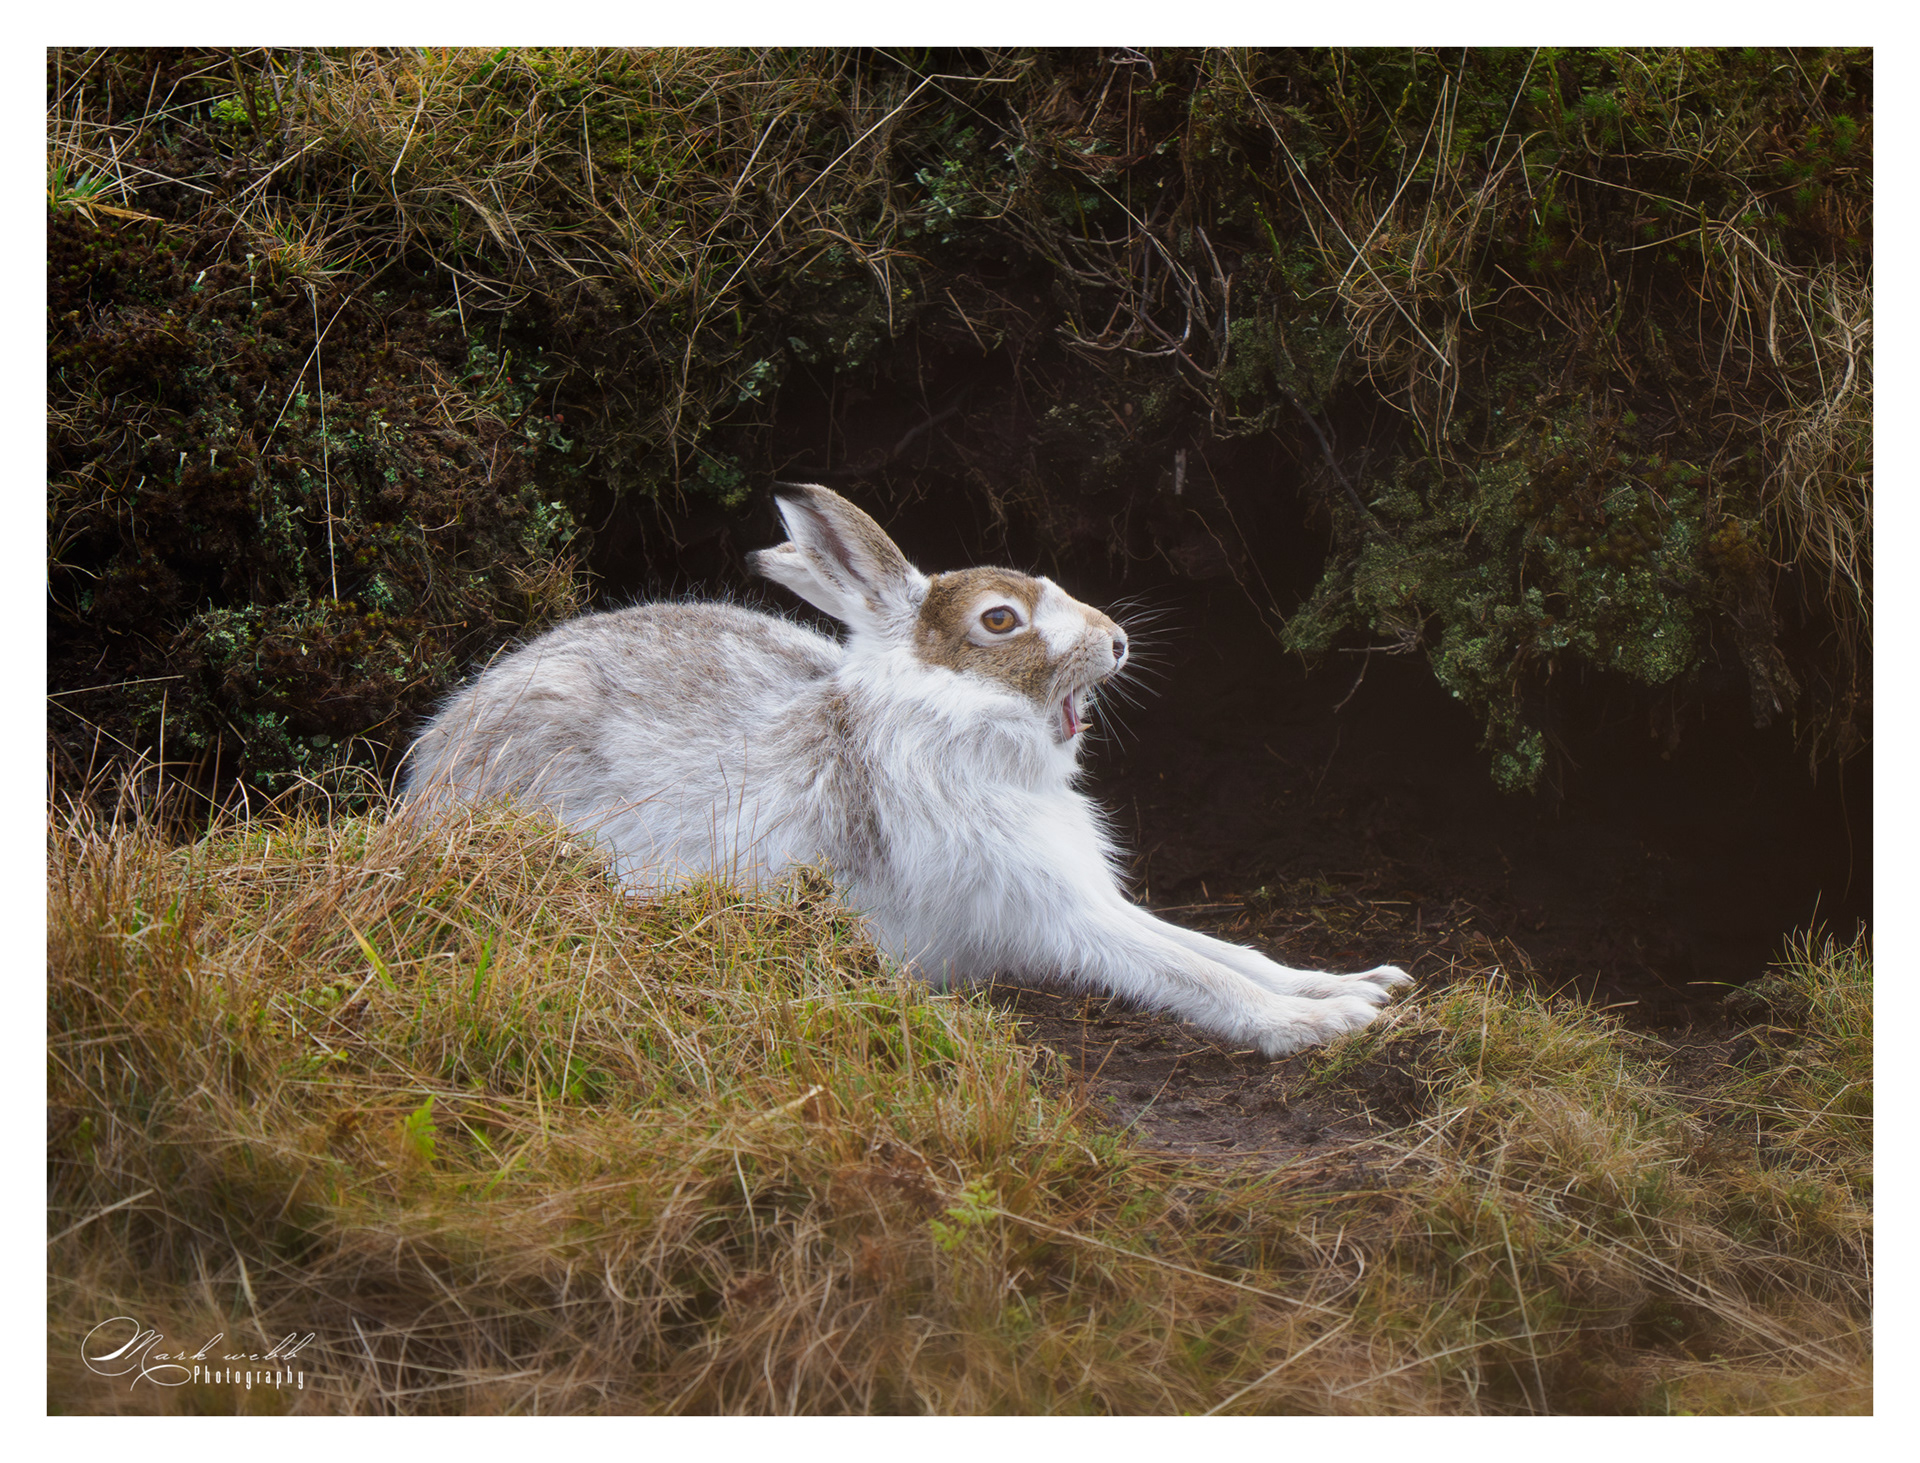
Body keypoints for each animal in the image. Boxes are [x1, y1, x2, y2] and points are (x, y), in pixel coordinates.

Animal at [403, 482, 1412, 1056]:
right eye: (1000, 621)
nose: (1119, 642)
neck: (945, 731)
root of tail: (430, 765)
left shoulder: (1080, 891)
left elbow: (1226, 948)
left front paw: (1361, 984)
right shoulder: (1052, 913)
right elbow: (1189, 973)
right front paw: (1315, 1027)